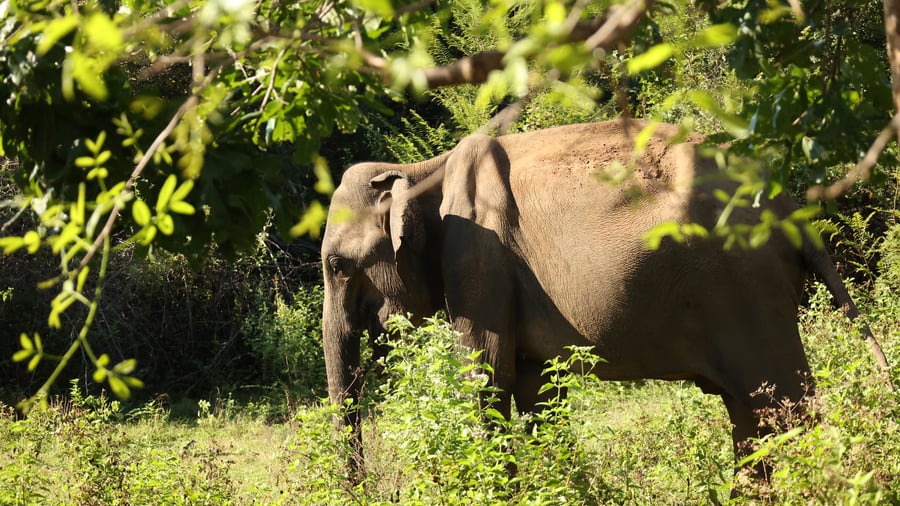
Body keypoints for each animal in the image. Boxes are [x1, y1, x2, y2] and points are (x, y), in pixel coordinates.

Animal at [320, 119, 889, 478]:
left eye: (336, 266)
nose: (361, 486)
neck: (422, 169)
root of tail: (787, 206)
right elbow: (537, 394)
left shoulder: (477, 262)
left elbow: (485, 385)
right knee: (751, 413)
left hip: (746, 287)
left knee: (784, 405)